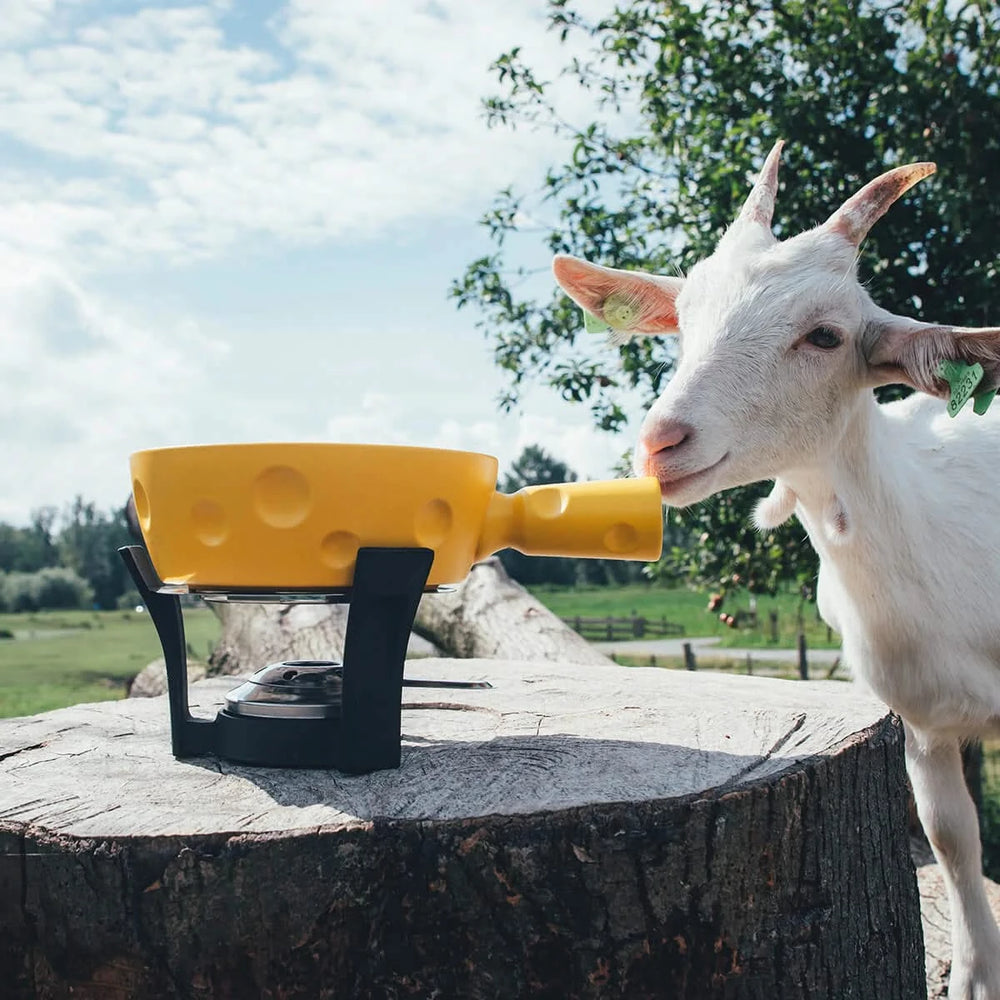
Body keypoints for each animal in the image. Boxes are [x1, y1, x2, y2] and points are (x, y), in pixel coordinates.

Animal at [552, 141, 1000, 1000]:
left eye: (824, 335)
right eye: (682, 320)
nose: (661, 441)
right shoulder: (925, 724)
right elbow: (954, 842)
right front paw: (972, 976)